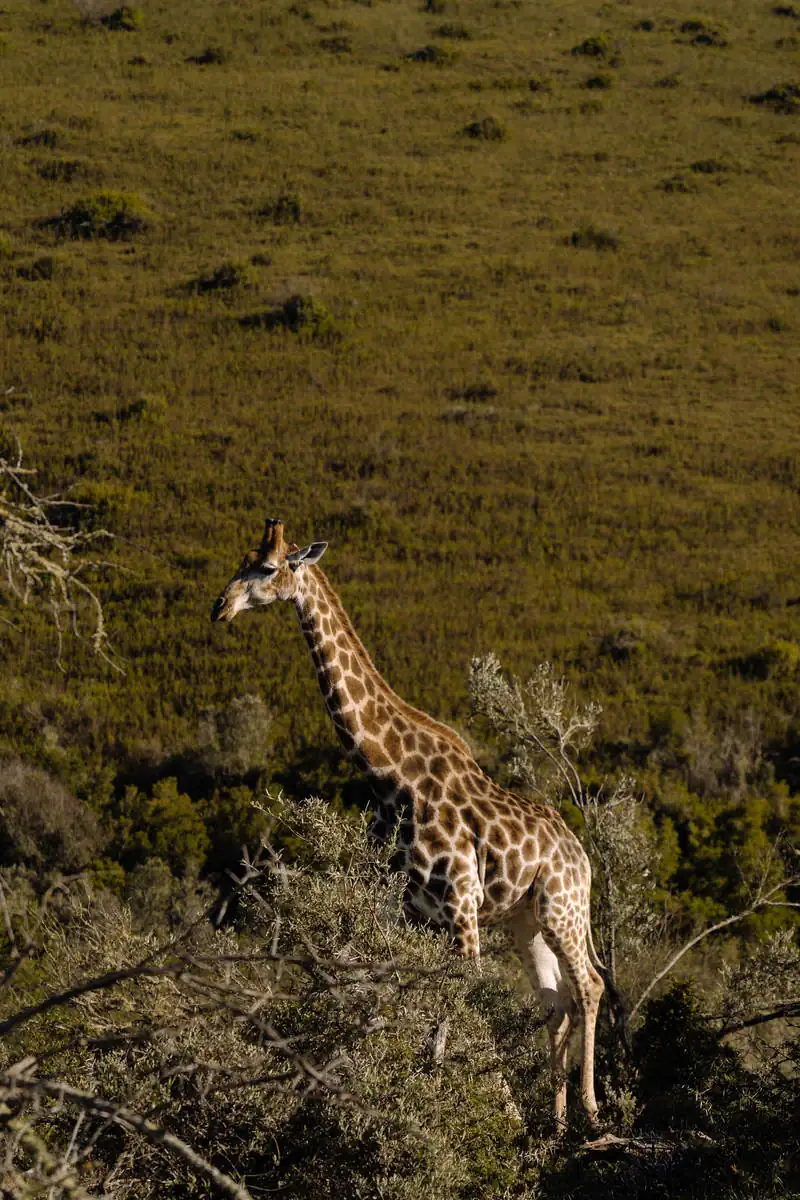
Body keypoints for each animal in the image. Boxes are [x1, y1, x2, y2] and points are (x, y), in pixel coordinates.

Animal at [212, 518, 606, 1123]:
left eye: (270, 567)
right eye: (241, 560)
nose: (221, 606)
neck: (388, 775)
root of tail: (581, 854)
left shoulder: (461, 906)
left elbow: (461, 998)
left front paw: (491, 1110)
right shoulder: (408, 912)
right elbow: (407, 997)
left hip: (561, 907)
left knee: (589, 985)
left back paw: (589, 1110)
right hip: (525, 920)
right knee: (555, 999)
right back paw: (557, 1119)